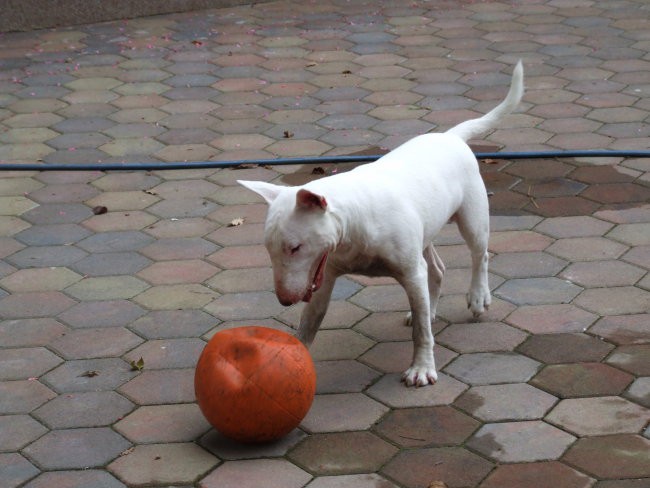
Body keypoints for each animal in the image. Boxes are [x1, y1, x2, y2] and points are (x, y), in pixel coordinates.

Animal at [238, 61, 520, 386]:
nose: (284, 301)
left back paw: (477, 298)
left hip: (472, 216)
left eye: (295, 247)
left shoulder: (410, 271)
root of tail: (450, 136)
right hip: (426, 231)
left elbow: (421, 333)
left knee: (479, 254)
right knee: (436, 270)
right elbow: (309, 324)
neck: (353, 220)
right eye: (268, 250)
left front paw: (421, 369)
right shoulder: (325, 277)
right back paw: (430, 309)